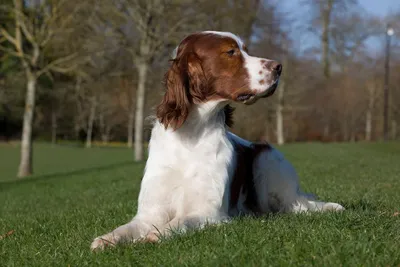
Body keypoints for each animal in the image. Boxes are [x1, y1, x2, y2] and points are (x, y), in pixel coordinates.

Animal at [90, 31, 344, 251]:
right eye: (231, 52)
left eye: (246, 50)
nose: (279, 67)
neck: (192, 134)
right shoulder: (150, 211)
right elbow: (126, 228)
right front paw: (106, 239)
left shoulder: (207, 212)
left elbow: (178, 222)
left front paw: (154, 235)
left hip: (267, 157)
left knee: (297, 205)